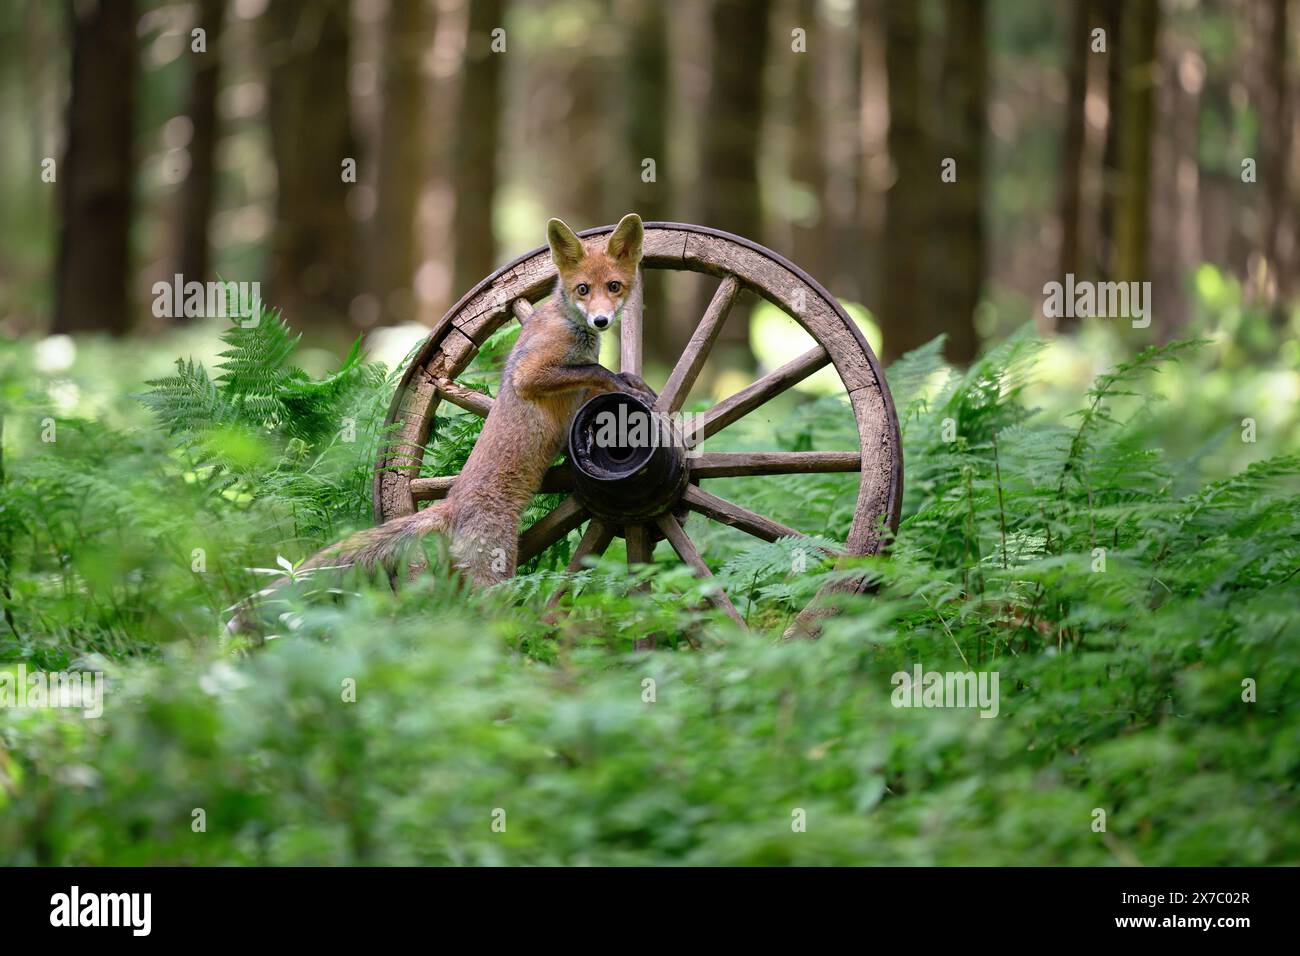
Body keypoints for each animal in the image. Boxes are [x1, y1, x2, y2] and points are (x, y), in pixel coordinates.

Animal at [229, 214, 656, 631]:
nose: (601, 320)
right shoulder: (530, 374)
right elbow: (594, 370)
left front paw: (632, 383)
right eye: (583, 289)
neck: (570, 328)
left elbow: (597, 376)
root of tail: (450, 504)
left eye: (614, 286)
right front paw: (624, 384)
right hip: (495, 570)